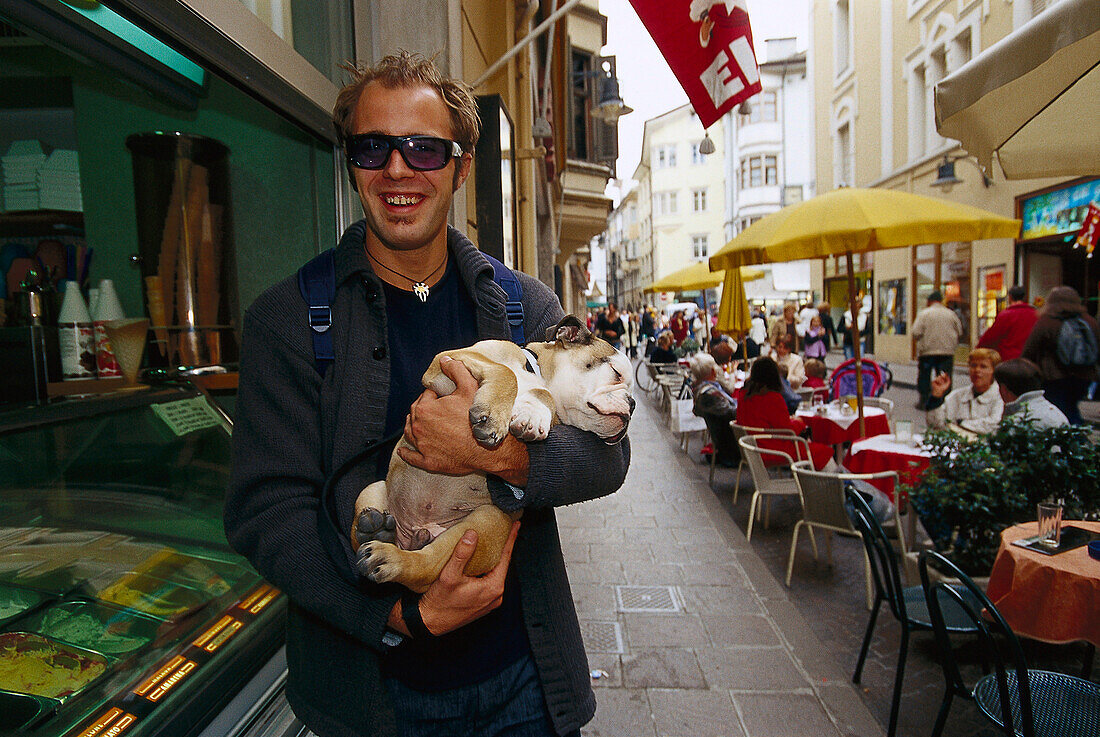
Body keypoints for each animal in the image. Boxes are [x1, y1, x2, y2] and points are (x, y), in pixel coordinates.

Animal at [352, 316, 629, 594]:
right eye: (615, 373)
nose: (633, 404)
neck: (536, 372)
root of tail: (415, 533)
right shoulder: (451, 361)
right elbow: (506, 372)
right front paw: (496, 415)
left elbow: (544, 395)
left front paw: (532, 414)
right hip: (372, 490)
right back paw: (375, 529)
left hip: (486, 522)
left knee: (425, 570)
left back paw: (389, 553)